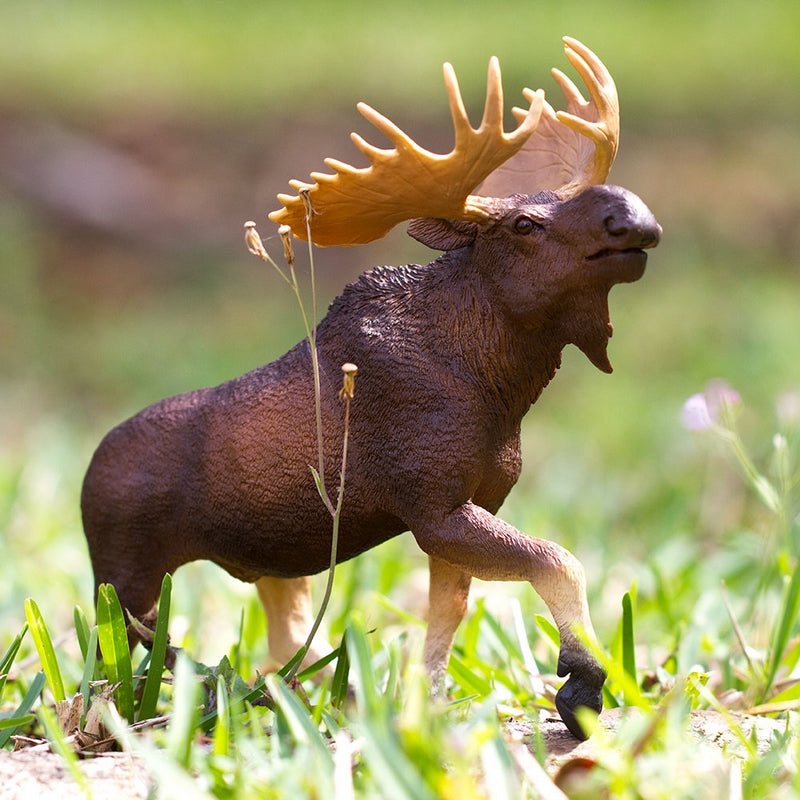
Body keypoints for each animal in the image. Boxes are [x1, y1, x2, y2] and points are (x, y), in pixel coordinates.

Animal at [81, 37, 660, 739]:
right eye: (525, 224)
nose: (632, 214)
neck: (498, 382)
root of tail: (87, 478)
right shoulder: (434, 507)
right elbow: (559, 560)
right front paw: (582, 680)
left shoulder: (469, 506)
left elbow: (448, 617)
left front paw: (427, 710)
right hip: (125, 574)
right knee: (125, 652)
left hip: (267, 570)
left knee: (283, 636)